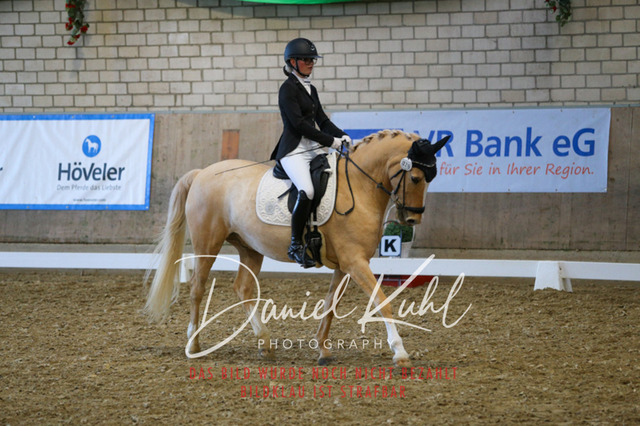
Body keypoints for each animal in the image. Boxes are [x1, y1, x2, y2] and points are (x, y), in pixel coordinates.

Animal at [145, 129, 449, 367]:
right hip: (207, 242)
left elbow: (330, 305)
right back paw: (194, 344)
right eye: (416, 178)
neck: (359, 186)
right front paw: (400, 352)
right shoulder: (355, 262)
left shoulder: (345, 265)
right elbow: (382, 301)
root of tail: (201, 173)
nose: (412, 219)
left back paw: (265, 343)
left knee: (242, 288)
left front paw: (323, 350)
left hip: (250, 248)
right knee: (197, 288)